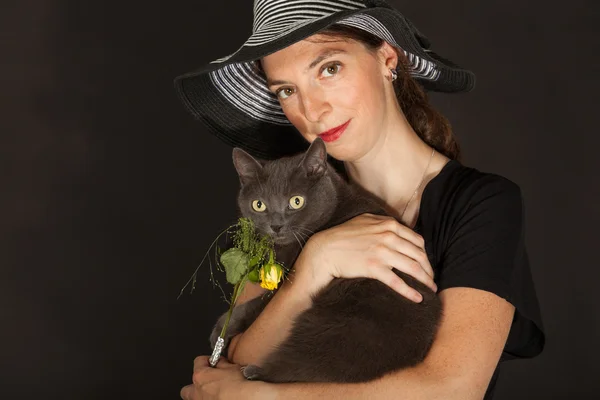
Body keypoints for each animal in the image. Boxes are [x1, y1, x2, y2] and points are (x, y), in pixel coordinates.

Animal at [207, 138, 440, 384]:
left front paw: (220, 330)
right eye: (258, 205)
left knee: (309, 366)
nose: (276, 225)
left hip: (344, 324)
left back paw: (255, 371)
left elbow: (254, 306)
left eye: (296, 201)